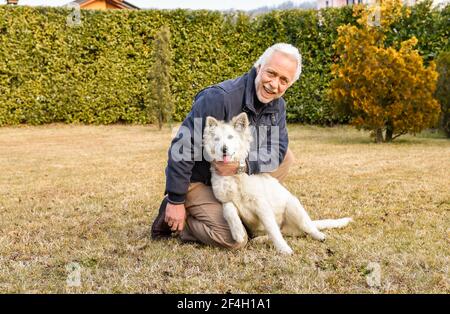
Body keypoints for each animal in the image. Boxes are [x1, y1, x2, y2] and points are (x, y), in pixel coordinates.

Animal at [202, 113, 354, 255]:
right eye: (216, 139)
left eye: (230, 137)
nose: (224, 149)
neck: (234, 176)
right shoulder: (225, 201)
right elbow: (229, 211)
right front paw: (238, 233)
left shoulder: (261, 204)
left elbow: (272, 229)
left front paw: (283, 249)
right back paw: (260, 239)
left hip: (294, 207)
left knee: (305, 228)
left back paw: (319, 235)